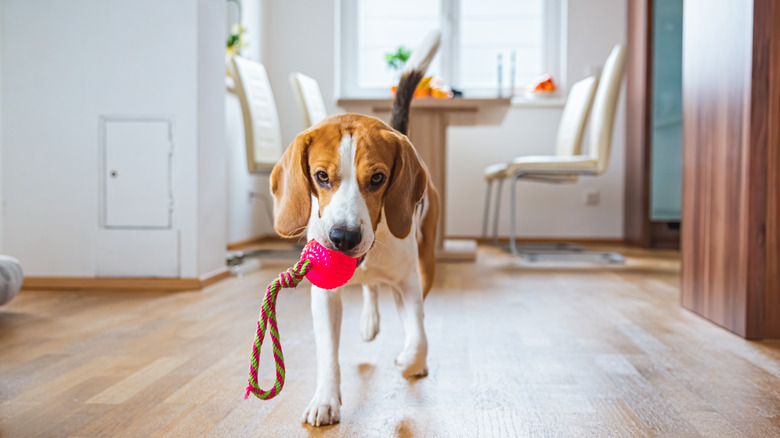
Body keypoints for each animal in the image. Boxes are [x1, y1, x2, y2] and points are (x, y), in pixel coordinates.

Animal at [268, 44, 438, 424]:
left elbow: (419, 336)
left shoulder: (408, 283)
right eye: (321, 176)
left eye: (377, 178)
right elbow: (327, 355)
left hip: (426, 263)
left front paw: (409, 361)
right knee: (370, 289)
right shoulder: (324, 296)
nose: (342, 238)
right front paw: (325, 399)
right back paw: (369, 321)